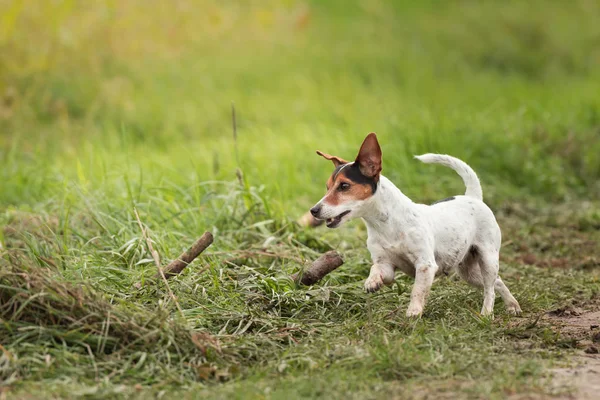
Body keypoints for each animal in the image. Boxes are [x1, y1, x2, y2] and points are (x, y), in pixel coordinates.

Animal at [310, 133, 520, 318]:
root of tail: (472, 196)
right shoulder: (385, 263)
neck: (385, 225)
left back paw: (487, 313)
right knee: (496, 282)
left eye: (344, 186)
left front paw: (414, 312)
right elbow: (378, 270)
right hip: (468, 271)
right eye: (327, 187)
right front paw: (373, 281)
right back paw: (513, 306)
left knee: (490, 288)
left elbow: (418, 291)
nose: (314, 210)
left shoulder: (425, 265)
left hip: (488, 258)